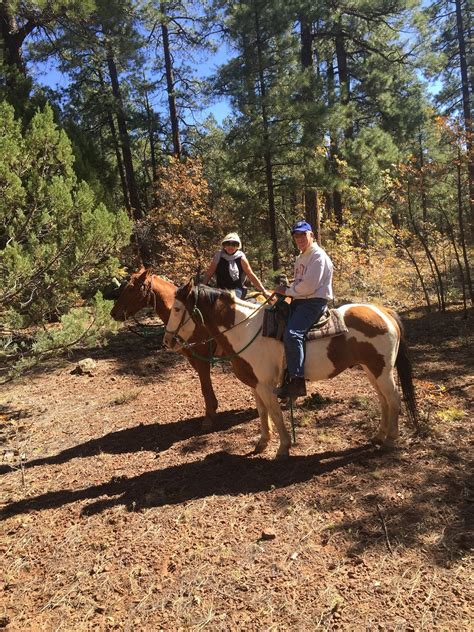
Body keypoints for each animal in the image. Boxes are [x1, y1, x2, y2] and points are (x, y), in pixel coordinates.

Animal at [111, 266, 218, 430]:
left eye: (131, 288)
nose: (114, 313)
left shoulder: (202, 358)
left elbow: (205, 386)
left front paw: (209, 418)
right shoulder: (193, 358)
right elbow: (205, 385)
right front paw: (213, 407)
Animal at [164, 282, 418, 460]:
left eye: (176, 309)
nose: (167, 341)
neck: (247, 330)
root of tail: (384, 311)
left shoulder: (267, 386)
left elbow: (275, 414)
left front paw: (283, 447)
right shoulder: (256, 385)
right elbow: (262, 413)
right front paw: (262, 442)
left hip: (382, 371)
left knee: (394, 399)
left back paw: (390, 440)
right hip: (371, 370)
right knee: (384, 401)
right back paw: (378, 436)